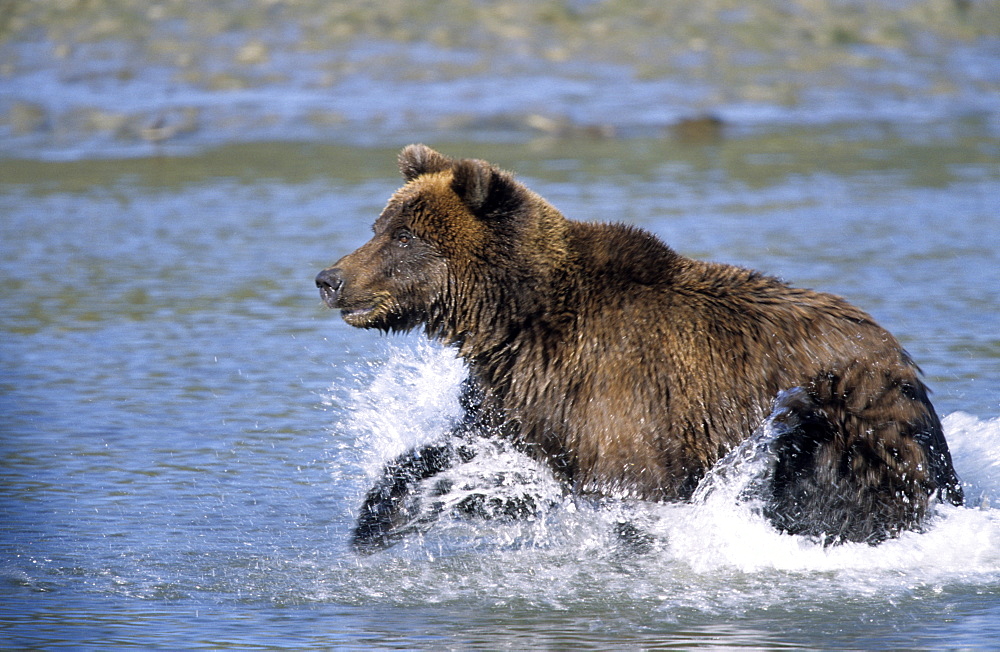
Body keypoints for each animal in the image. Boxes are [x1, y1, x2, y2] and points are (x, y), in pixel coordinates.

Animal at [316, 143, 964, 552]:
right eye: (379, 226)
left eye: (404, 236)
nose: (329, 277)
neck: (516, 318)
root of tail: (898, 350)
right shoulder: (528, 396)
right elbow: (463, 457)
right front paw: (377, 521)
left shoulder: (618, 394)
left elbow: (628, 491)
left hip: (846, 415)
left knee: (841, 488)